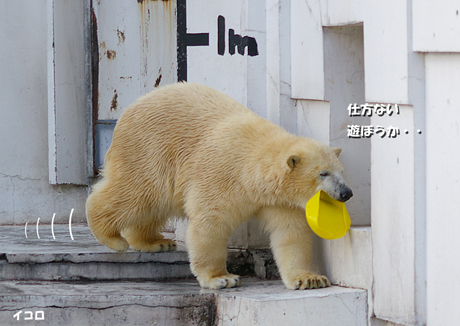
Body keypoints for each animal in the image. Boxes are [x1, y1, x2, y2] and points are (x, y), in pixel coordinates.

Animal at [86, 83, 352, 290]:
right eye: (323, 173)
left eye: (341, 171)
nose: (346, 193)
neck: (253, 166)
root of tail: (129, 110)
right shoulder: (222, 176)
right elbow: (210, 224)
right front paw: (221, 278)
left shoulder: (280, 200)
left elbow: (291, 233)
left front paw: (310, 279)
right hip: (149, 152)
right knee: (136, 194)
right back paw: (112, 237)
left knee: (151, 205)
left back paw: (154, 242)